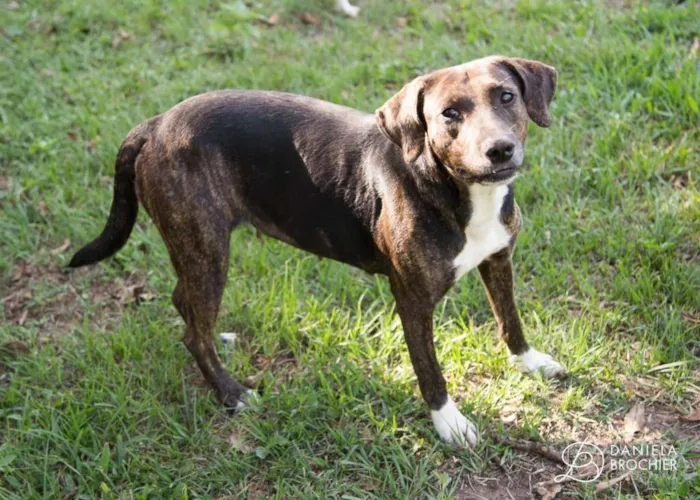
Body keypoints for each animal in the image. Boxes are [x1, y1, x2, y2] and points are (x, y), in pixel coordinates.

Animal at [68, 54, 568, 446]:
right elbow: (430, 370)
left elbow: (509, 319)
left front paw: (529, 362)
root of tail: (154, 125)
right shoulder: (413, 301)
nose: (499, 150)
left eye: (506, 96)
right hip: (206, 247)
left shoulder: (499, 260)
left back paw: (218, 340)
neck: (456, 189)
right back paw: (231, 393)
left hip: (198, 249)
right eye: (449, 113)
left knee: (186, 304)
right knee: (192, 333)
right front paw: (450, 423)